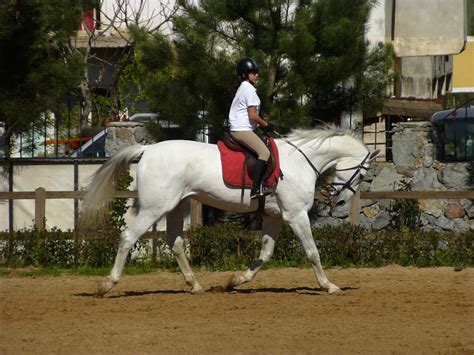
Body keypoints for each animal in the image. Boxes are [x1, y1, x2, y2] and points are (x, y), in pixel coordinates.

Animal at [80, 126, 378, 296]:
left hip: (175, 206)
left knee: (174, 242)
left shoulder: (274, 216)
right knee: (128, 237)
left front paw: (235, 281)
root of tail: (148, 150)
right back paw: (107, 285)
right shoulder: (295, 215)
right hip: (154, 208)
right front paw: (329, 286)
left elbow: (265, 254)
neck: (300, 161)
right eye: (362, 173)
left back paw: (195, 285)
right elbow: (312, 252)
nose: (340, 202)